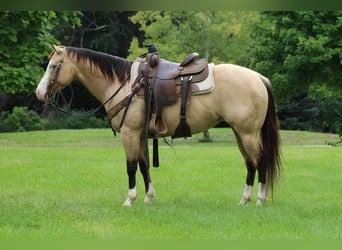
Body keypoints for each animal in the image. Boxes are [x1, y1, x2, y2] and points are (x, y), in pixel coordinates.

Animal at [35, 45, 280, 207]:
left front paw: (130, 199)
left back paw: (259, 199)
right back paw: (245, 199)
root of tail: (259, 78)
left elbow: (131, 166)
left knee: (259, 160)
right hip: (240, 133)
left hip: (247, 134)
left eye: (53, 66)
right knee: (250, 163)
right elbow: (144, 166)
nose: (39, 92)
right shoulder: (141, 135)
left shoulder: (129, 133)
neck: (125, 84)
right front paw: (148, 197)